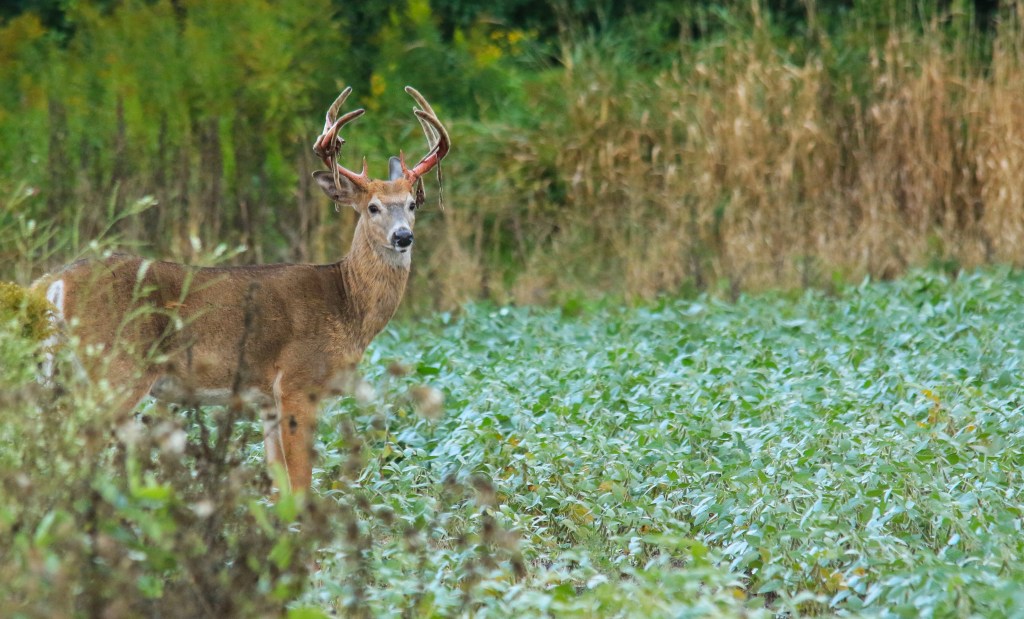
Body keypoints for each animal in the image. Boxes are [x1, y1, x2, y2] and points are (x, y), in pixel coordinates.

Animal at [34, 86, 450, 493]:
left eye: (412, 204)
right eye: (373, 207)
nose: (403, 236)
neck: (346, 302)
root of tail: (54, 284)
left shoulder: (267, 400)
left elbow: (280, 483)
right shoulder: (297, 382)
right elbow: (301, 483)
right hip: (117, 366)